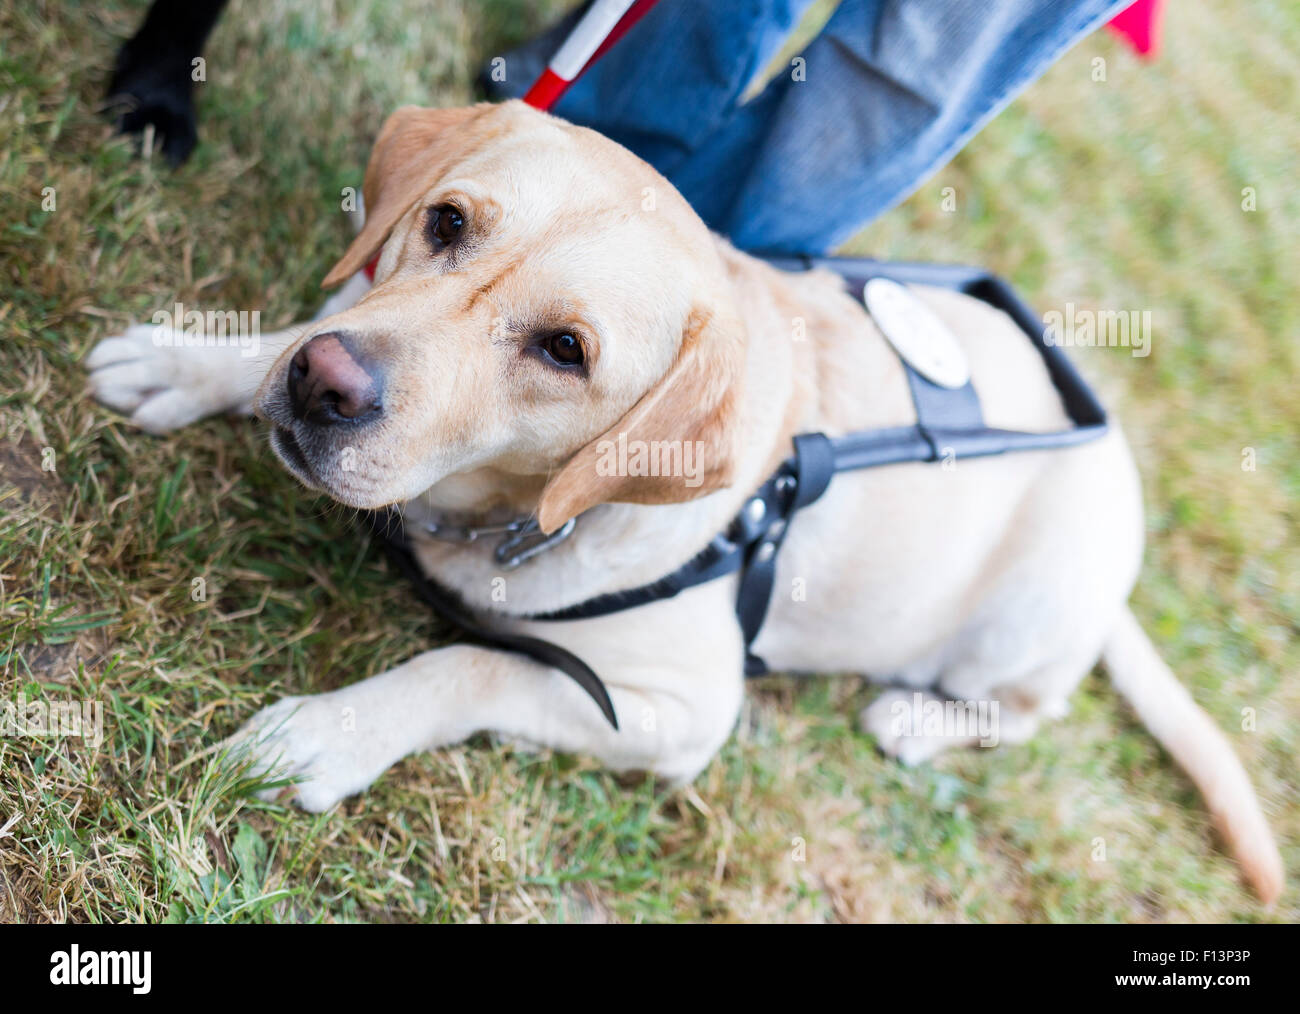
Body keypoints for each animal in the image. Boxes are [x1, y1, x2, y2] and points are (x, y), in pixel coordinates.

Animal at [86, 100, 1284, 904]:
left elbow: (463, 663)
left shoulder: (677, 709)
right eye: (447, 222)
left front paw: (327, 732)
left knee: (1027, 710)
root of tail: (1114, 461)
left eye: (565, 351)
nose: (327, 387)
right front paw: (195, 363)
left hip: (1027, 618)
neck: (504, 512)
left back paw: (917, 716)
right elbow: (294, 328)